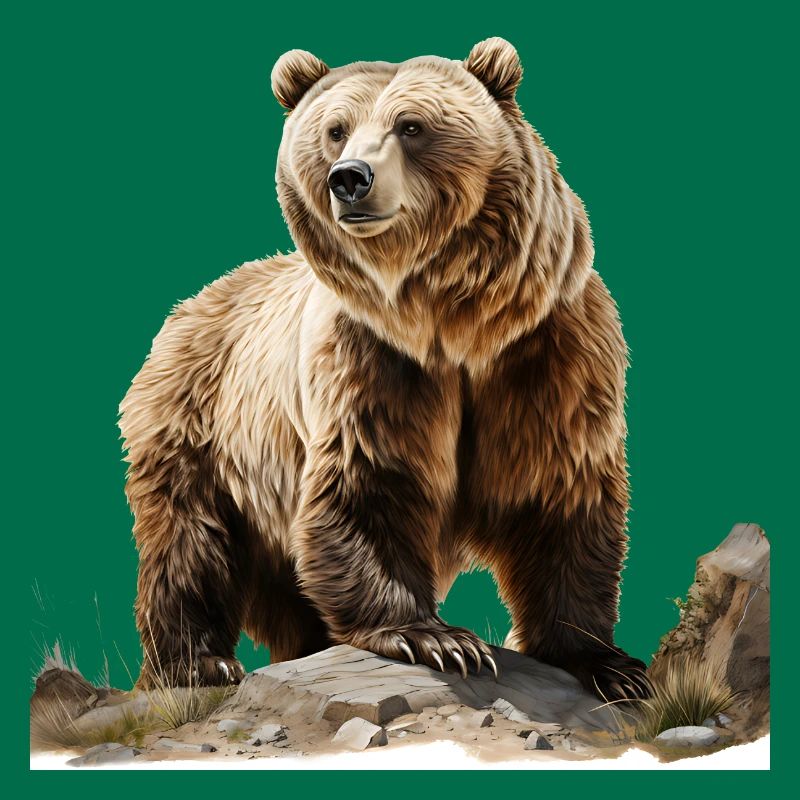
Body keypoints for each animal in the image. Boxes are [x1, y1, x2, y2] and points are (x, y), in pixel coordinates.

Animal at [119, 38, 649, 701]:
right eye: (335, 129)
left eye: (412, 125)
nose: (349, 177)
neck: (452, 324)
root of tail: (188, 308)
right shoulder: (370, 362)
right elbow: (370, 482)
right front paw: (436, 638)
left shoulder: (548, 351)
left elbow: (560, 493)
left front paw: (609, 664)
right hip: (202, 429)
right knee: (190, 543)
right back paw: (198, 662)